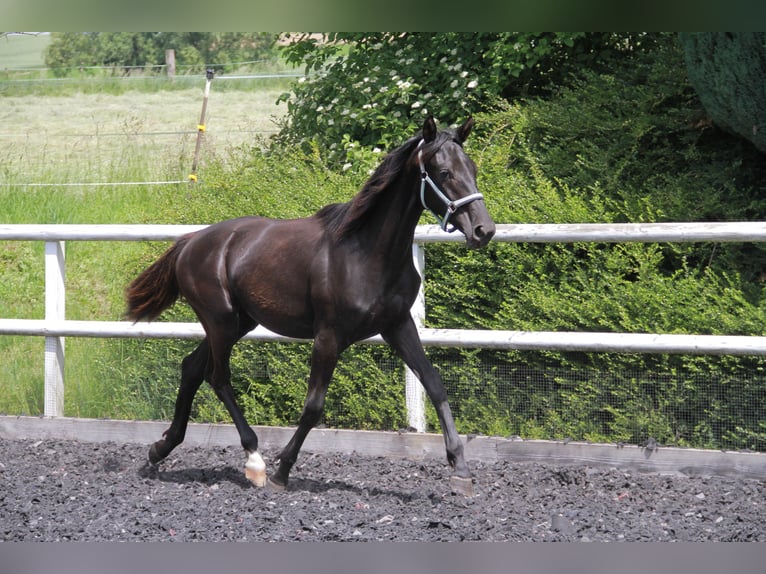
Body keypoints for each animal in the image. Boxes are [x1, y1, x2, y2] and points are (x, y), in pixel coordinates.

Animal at [125, 116, 496, 496]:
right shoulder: (328, 337)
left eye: (473, 169)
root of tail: (189, 242)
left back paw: (159, 450)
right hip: (221, 322)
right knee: (217, 377)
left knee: (192, 368)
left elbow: (434, 384)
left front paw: (461, 470)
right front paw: (281, 472)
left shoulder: (397, 324)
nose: (484, 230)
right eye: (444, 172)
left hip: (237, 323)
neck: (367, 252)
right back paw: (255, 462)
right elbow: (314, 406)